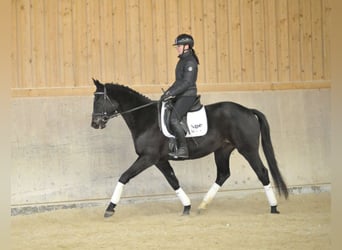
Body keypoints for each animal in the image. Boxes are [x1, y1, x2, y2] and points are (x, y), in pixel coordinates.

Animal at [91, 79, 288, 218]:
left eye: (99, 100)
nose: (95, 124)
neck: (145, 118)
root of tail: (248, 110)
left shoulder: (148, 157)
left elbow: (124, 177)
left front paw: (110, 209)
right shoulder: (160, 160)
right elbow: (173, 181)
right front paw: (186, 207)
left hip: (248, 150)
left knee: (262, 172)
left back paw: (273, 207)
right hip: (222, 150)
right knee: (223, 174)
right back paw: (202, 206)